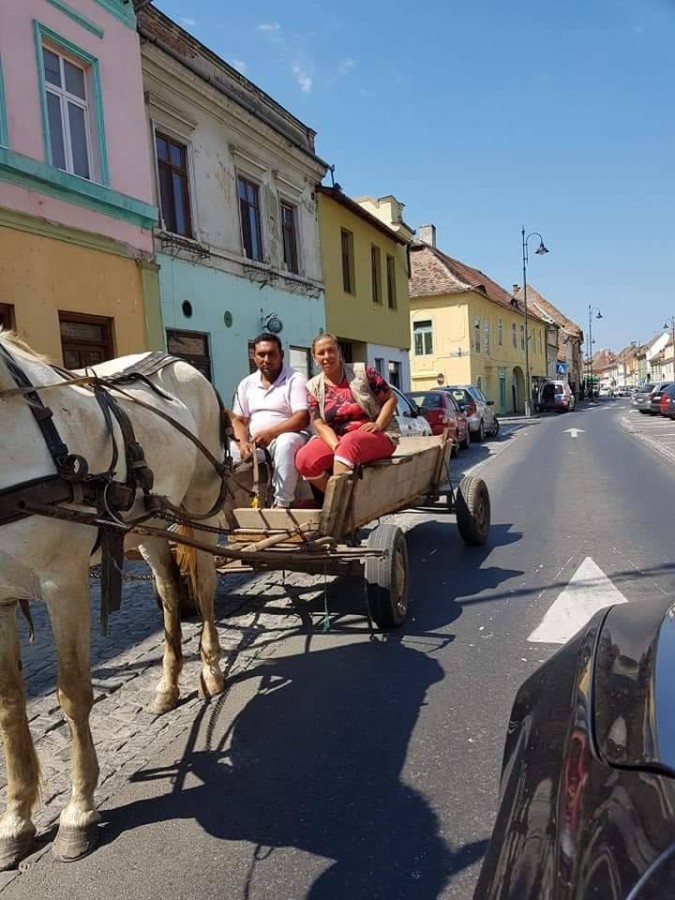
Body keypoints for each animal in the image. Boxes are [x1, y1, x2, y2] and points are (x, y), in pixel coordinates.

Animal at [0, 334, 230, 868]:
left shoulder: (63, 582)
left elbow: (73, 692)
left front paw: (78, 812)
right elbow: (9, 705)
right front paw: (16, 820)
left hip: (198, 508)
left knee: (205, 588)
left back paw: (211, 668)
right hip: (148, 524)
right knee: (168, 594)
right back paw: (168, 685)